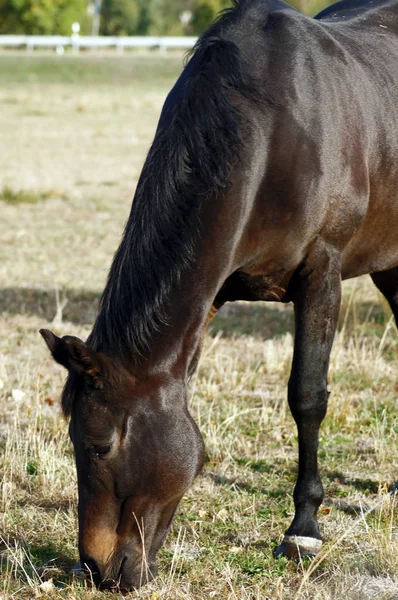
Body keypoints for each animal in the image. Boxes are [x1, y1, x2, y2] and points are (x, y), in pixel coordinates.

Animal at [39, 0, 398, 592]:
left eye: (99, 444)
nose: (95, 568)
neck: (273, 127)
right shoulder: (212, 294)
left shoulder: (322, 271)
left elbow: (308, 396)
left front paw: (303, 530)